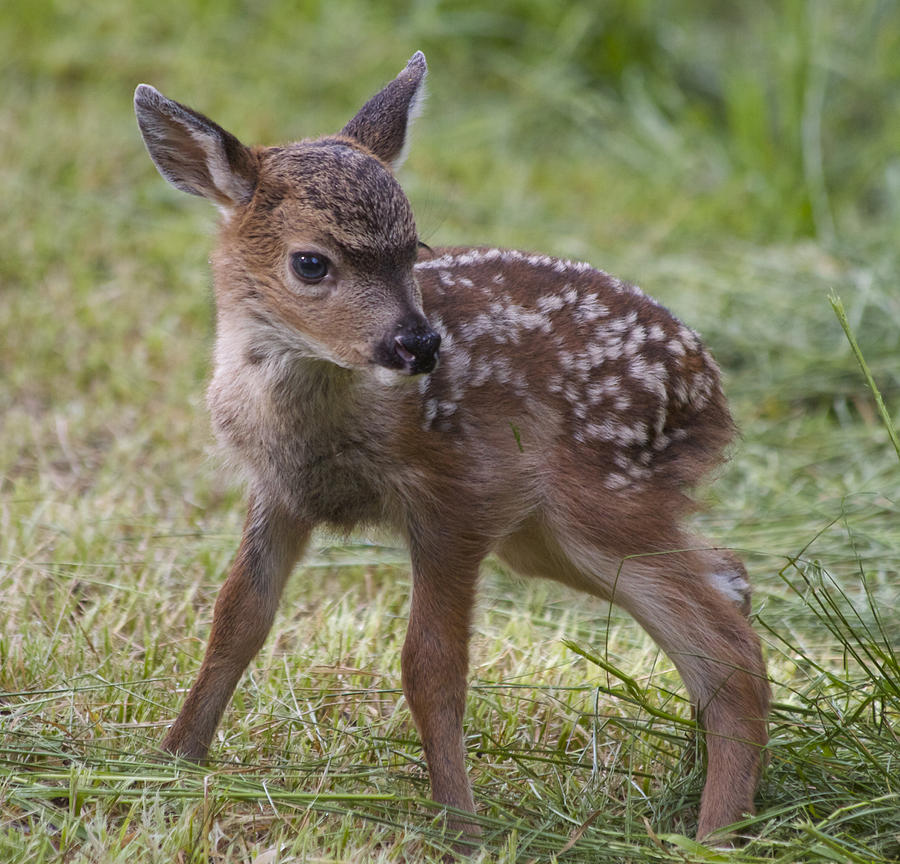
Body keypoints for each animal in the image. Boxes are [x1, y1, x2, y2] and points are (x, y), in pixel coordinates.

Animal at [134, 52, 768, 844]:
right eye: (311, 264)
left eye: (414, 248)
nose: (419, 343)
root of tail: (710, 391)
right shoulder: (280, 491)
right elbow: (236, 620)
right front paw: (171, 759)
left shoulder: (461, 494)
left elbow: (430, 666)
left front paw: (461, 824)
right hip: (552, 534)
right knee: (728, 574)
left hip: (600, 498)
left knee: (727, 650)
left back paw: (714, 834)